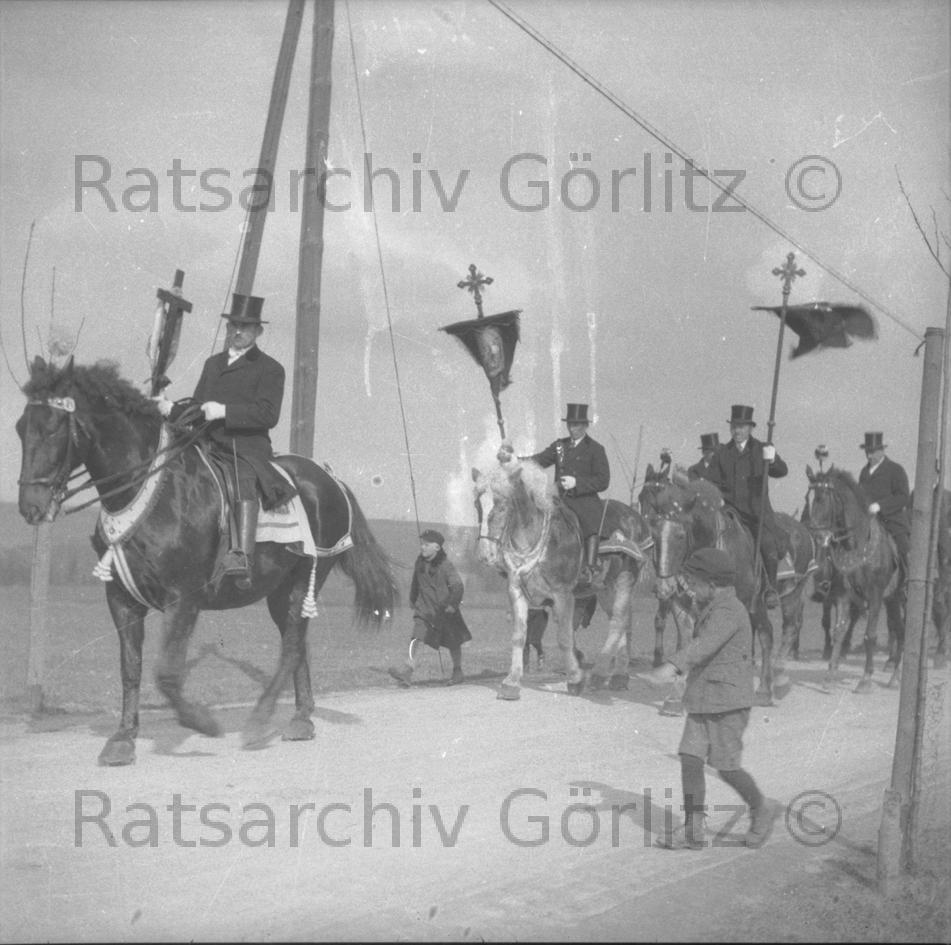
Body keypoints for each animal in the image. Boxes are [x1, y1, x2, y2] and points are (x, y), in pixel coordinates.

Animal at [16, 357, 398, 765]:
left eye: (54, 428)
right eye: (21, 428)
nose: (30, 507)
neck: (149, 490)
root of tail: (329, 478)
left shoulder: (184, 598)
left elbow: (167, 673)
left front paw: (202, 722)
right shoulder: (121, 599)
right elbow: (130, 668)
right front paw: (123, 738)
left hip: (304, 580)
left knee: (293, 646)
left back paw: (261, 721)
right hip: (278, 592)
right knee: (297, 646)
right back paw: (301, 718)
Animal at [473, 457, 651, 699]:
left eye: (501, 505)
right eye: (477, 505)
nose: (485, 554)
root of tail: (636, 517)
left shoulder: (563, 594)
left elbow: (565, 638)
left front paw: (575, 679)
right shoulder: (517, 591)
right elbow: (519, 636)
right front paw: (511, 682)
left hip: (625, 579)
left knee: (618, 622)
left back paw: (601, 674)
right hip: (605, 587)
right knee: (624, 622)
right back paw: (618, 675)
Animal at [803, 465, 903, 693]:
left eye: (824, 498)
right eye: (811, 498)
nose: (818, 536)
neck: (857, 546)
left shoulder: (875, 596)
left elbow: (870, 636)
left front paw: (865, 679)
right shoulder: (843, 596)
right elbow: (838, 631)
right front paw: (830, 674)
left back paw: (895, 675)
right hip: (892, 600)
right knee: (900, 630)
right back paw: (895, 675)